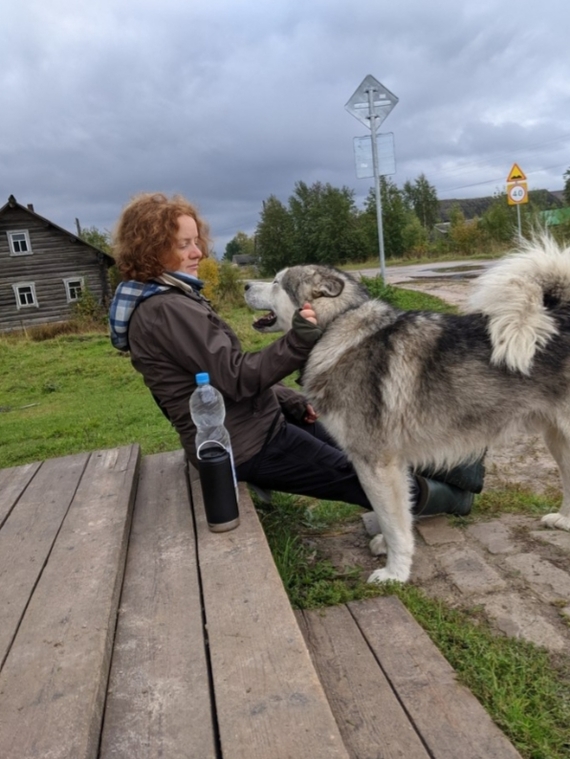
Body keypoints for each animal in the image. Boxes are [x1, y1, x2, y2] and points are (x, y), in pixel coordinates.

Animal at [246, 238, 568, 580]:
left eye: (277, 282)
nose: (245, 285)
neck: (338, 325)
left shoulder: (376, 464)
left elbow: (393, 523)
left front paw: (395, 573)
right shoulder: (393, 466)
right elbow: (397, 518)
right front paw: (389, 553)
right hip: (557, 440)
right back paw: (563, 521)